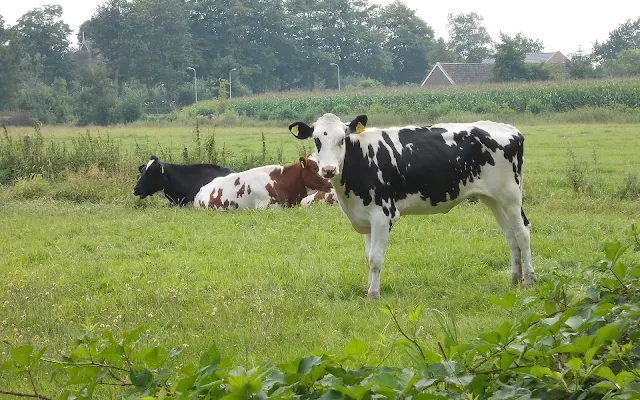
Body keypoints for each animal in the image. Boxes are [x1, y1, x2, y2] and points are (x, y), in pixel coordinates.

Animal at [288, 114, 532, 298]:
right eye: (317, 140)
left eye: (342, 139)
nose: (328, 170)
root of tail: (510, 129)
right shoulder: (364, 217)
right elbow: (368, 257)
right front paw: (368, 288)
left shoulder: (383, 215)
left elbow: (376, 259)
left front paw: (373, 294)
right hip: (493, 199)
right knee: (510, 236)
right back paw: (514, 279)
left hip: (511, 196)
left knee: (522, 233)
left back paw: (529, 280)